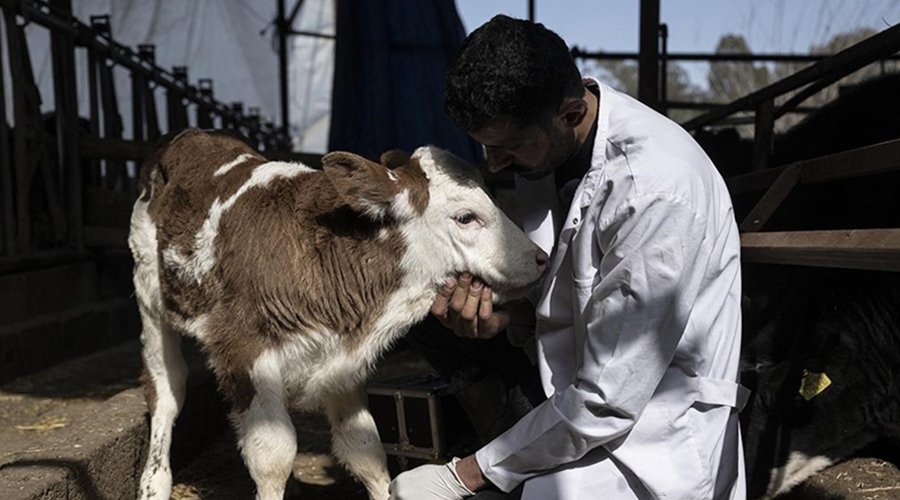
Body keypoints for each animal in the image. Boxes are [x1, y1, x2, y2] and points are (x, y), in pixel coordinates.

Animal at [128, 130, 548, 500]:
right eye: (466, 217)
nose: (540, 258)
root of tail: (192, 137)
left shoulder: (341, 361)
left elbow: (365, 450)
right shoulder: (245, 351)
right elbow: (272, 456)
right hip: (150, 296)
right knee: (167, 389)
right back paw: (153, 484)